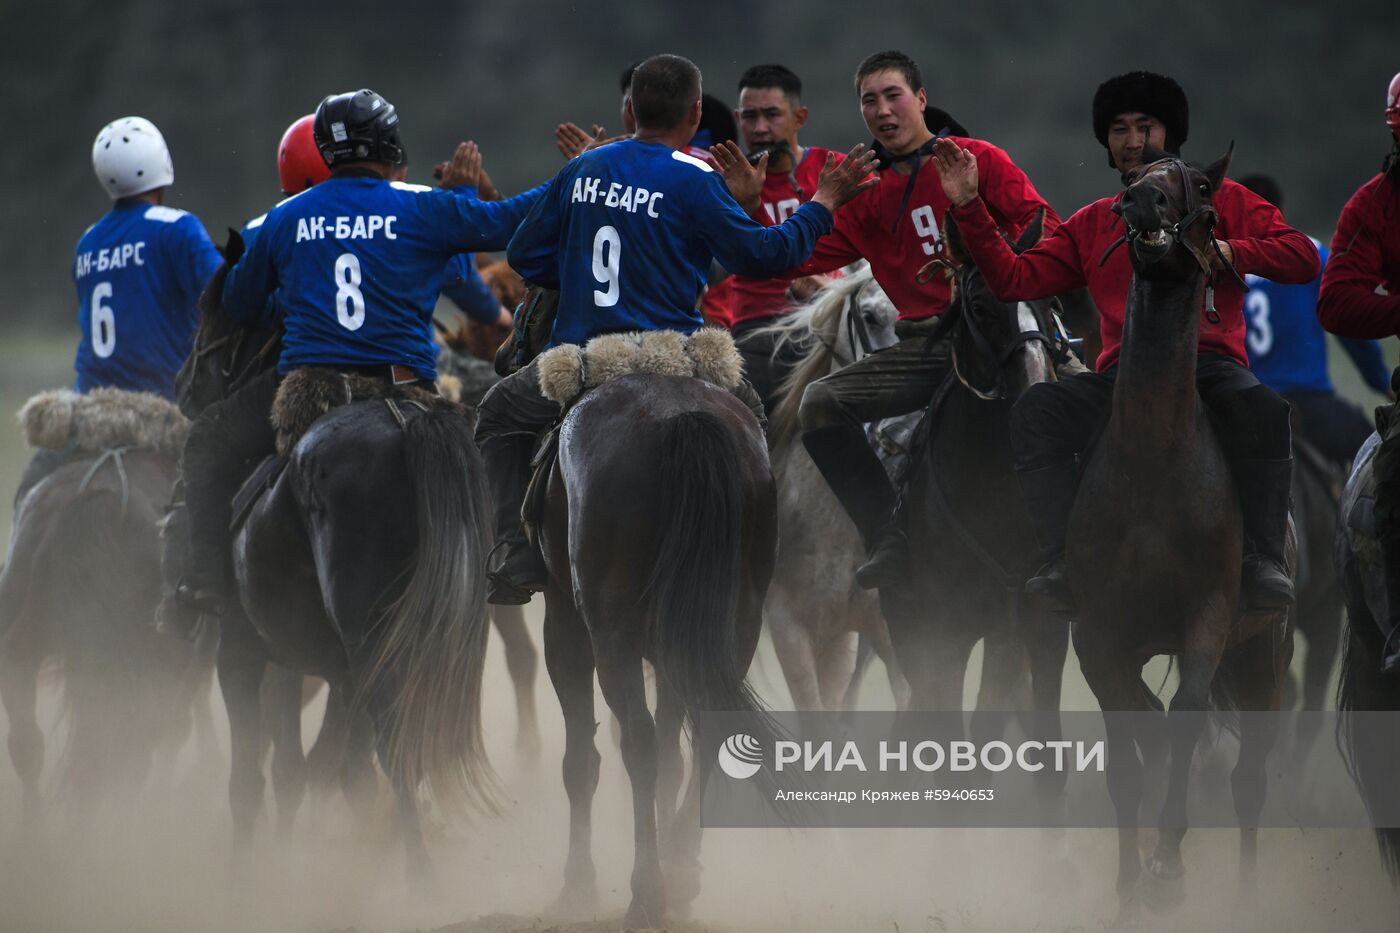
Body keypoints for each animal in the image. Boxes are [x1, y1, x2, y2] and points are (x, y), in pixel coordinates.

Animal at [172, 263, 498, 879]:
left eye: (208, 307)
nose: (183, 385)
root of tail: (401, 418)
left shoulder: (243, 653)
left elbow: (252, 779)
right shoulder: (332, 674)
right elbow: (322, 771)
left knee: (395, 752)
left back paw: (421, 878)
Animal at [532, 340, 778, 924]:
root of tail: (678, 416)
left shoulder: (565, 628)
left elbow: (584, 760)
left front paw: (578, 884)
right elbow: (673, 749)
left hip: (612, 635)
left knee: (637, 743)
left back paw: (646, 891)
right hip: (736, 623)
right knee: (707, 732)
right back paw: (681, 870)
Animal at [1064, 149, 1293, 918]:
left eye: (1205, 196)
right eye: (1129, 186)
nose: (1144, 204)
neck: (1154, 465)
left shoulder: (1210, 615)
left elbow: (1188, 716)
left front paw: (1167, 860)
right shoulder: (1098, 633)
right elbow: (1128, 757)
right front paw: (1129, 883)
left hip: (1264, 657)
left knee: (1249, 783)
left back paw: (1248, 893)